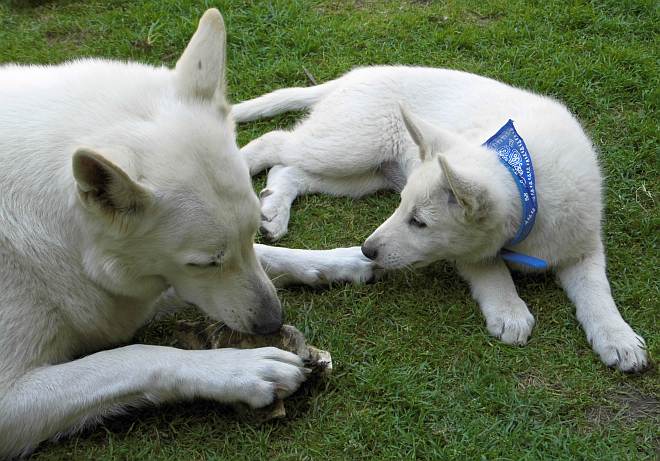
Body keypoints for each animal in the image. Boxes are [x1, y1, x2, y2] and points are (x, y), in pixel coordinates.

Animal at [0, 9, 374, 456]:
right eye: (204, 263)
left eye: (252, 232)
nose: (273, 322)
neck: (70, 242)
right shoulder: (11, 399)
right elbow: (134, 357)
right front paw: (240, 369)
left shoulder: (135, 293)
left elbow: (269, 258)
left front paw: (336, 261)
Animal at [233, 65, 648, 374]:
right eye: (402, 208)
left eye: (418, 222)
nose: (366, 250)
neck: (530, 179)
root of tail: (353, 76)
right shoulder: (469, 252)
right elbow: (492, 269)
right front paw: (509, 311)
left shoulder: (583, 247)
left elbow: (597, 291)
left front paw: (618, 337)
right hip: (348, 147)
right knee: (275, 142)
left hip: (363, 175)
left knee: (289, 169)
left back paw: (273, 208)